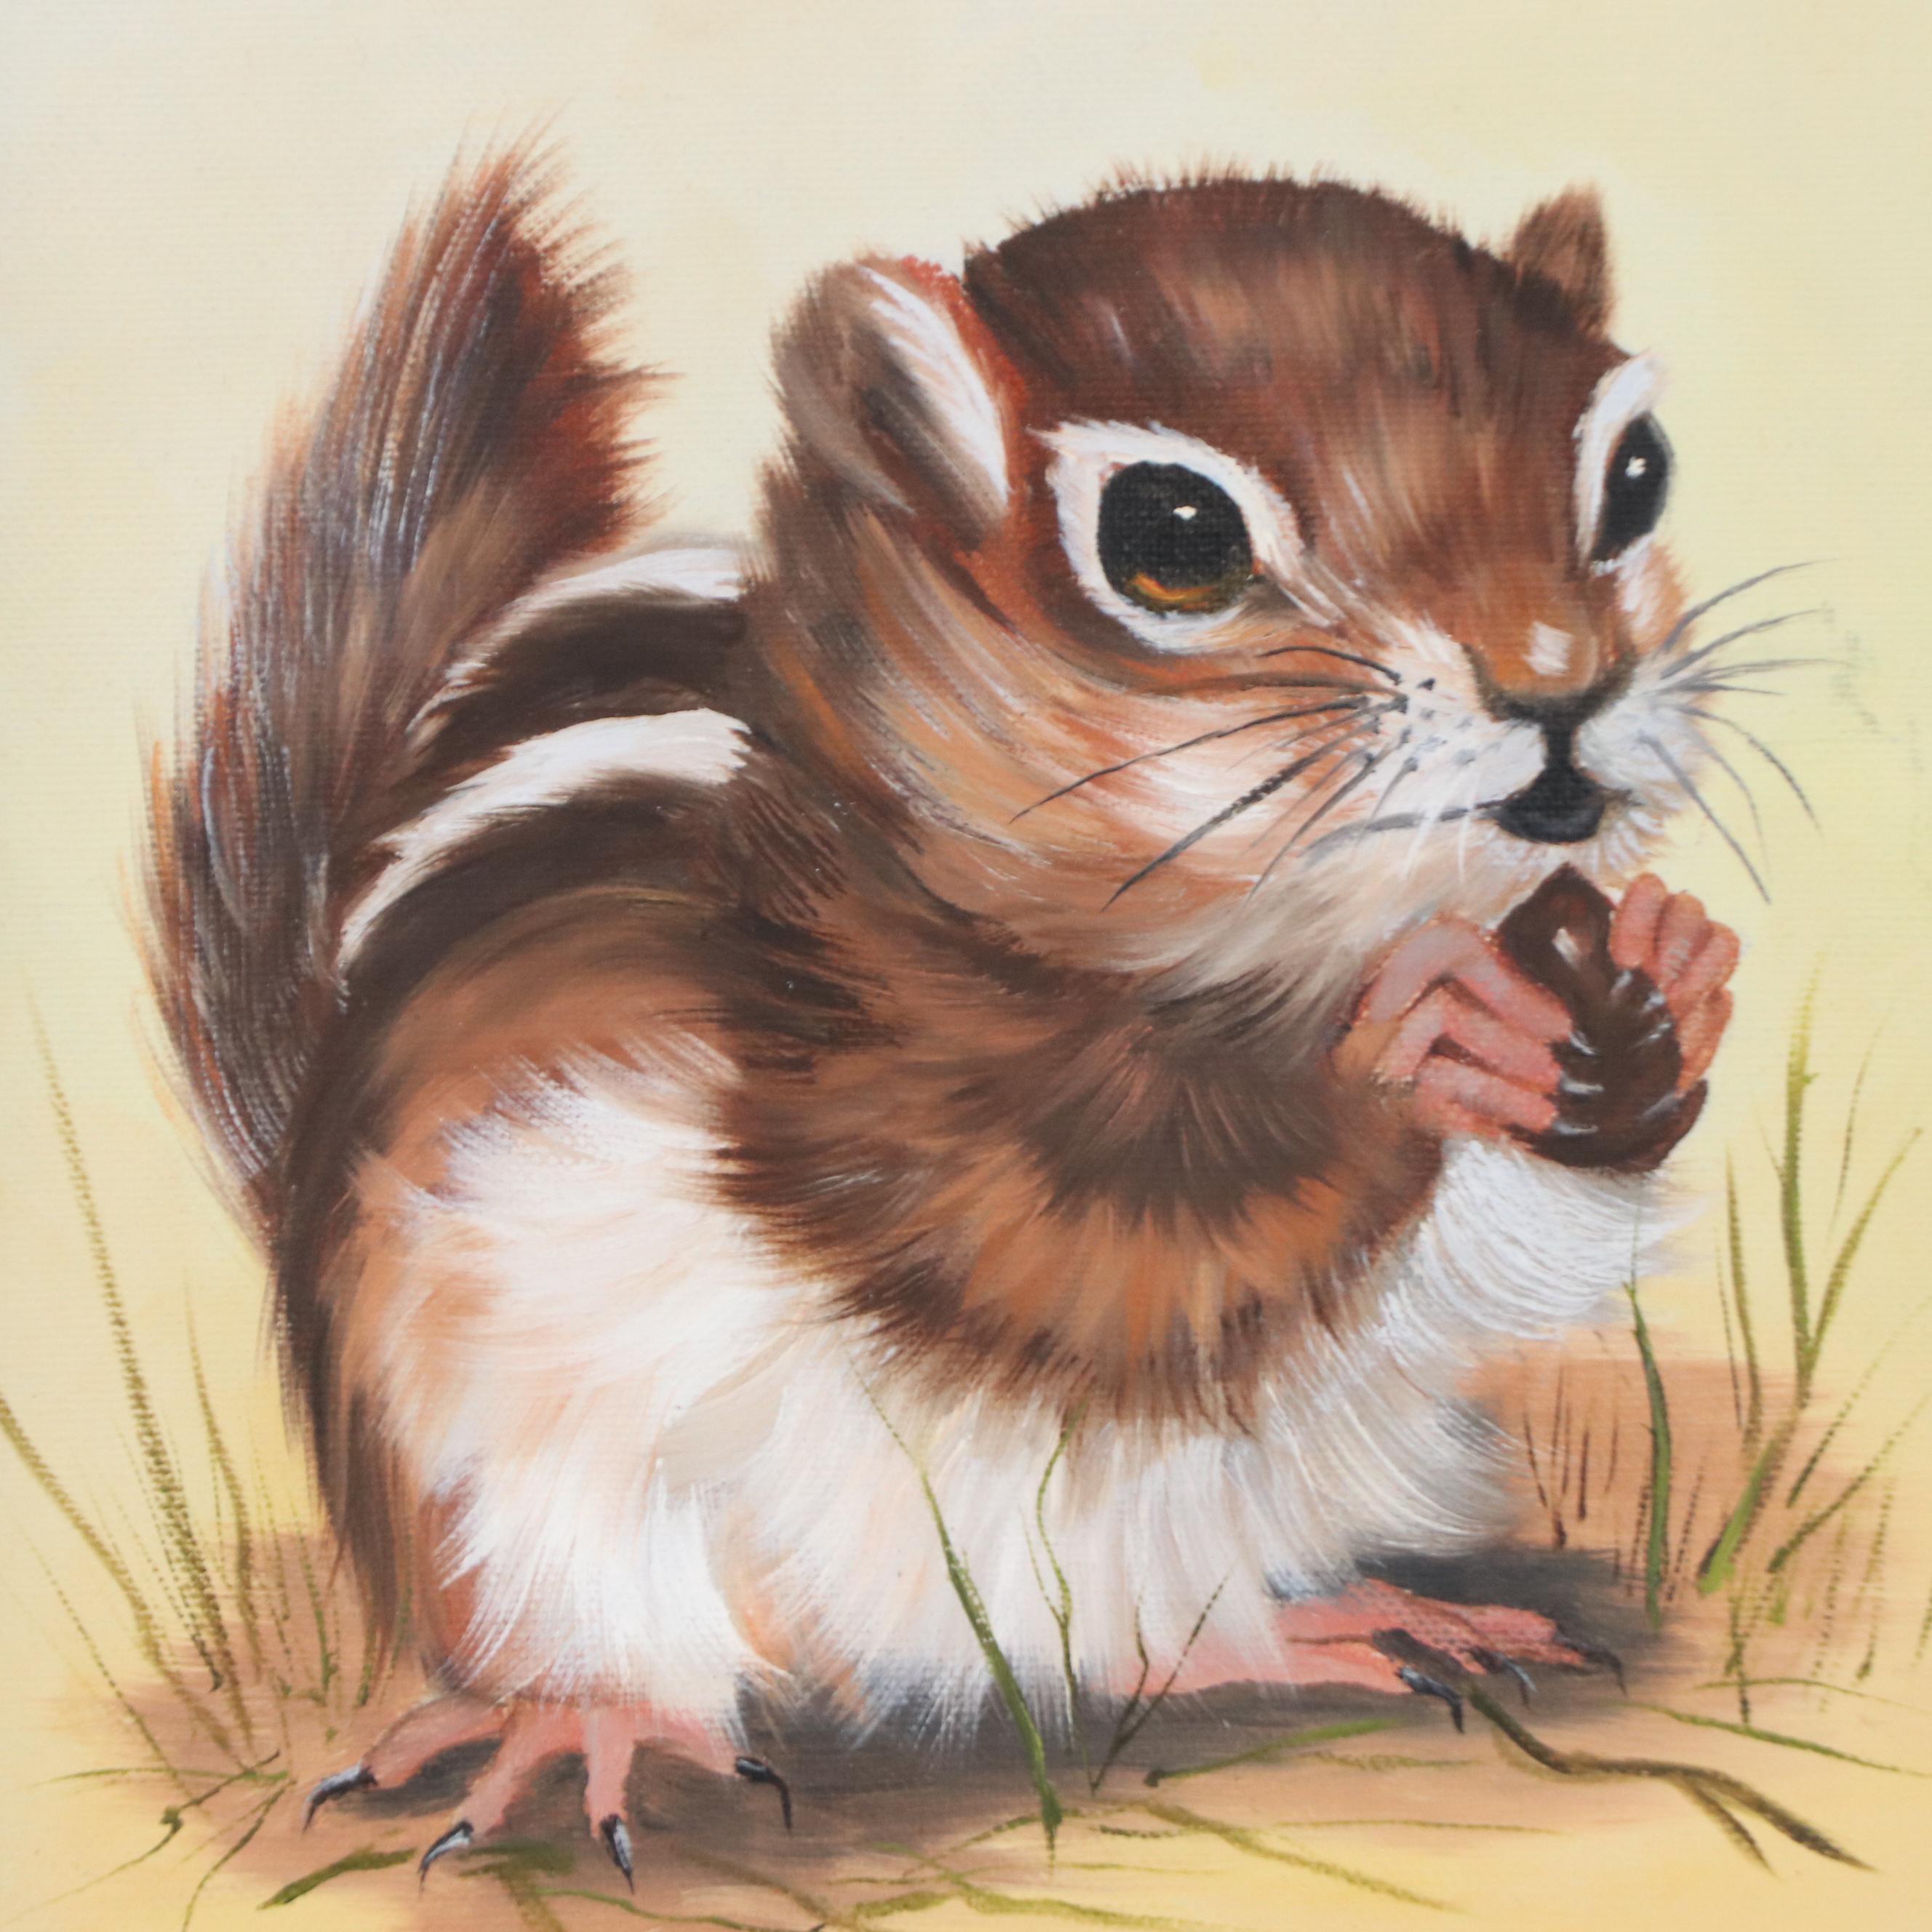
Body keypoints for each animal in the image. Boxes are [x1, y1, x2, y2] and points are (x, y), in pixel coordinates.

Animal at [145, 149, 1744, 1880]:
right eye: (1171, 533)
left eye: (1638, 469)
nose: (1560, 683)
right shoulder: (874, 1072)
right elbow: (1093, 1227)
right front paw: (1417, 1029)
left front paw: (1660, 987)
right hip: (505, 1488)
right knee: (599, 1630)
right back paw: (588, 1722)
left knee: (1164, 1636)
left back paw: (1340, 1625)